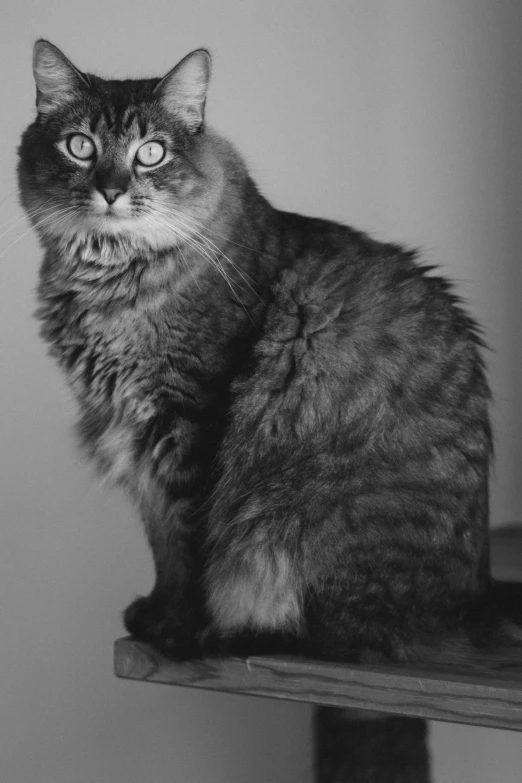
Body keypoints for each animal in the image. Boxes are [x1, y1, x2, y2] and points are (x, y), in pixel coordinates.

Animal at [19, 39, 516, 672]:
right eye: (80, 146)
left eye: (151, 153)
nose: (111, 189)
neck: (111, 281)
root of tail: (476, 596)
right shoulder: (136, 435)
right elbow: (161, 545)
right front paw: (154, 614)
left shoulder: (187, 421)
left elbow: (188, 548)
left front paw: (179, 631)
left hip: (288, 523)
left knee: (344, 636)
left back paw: (238, 635)